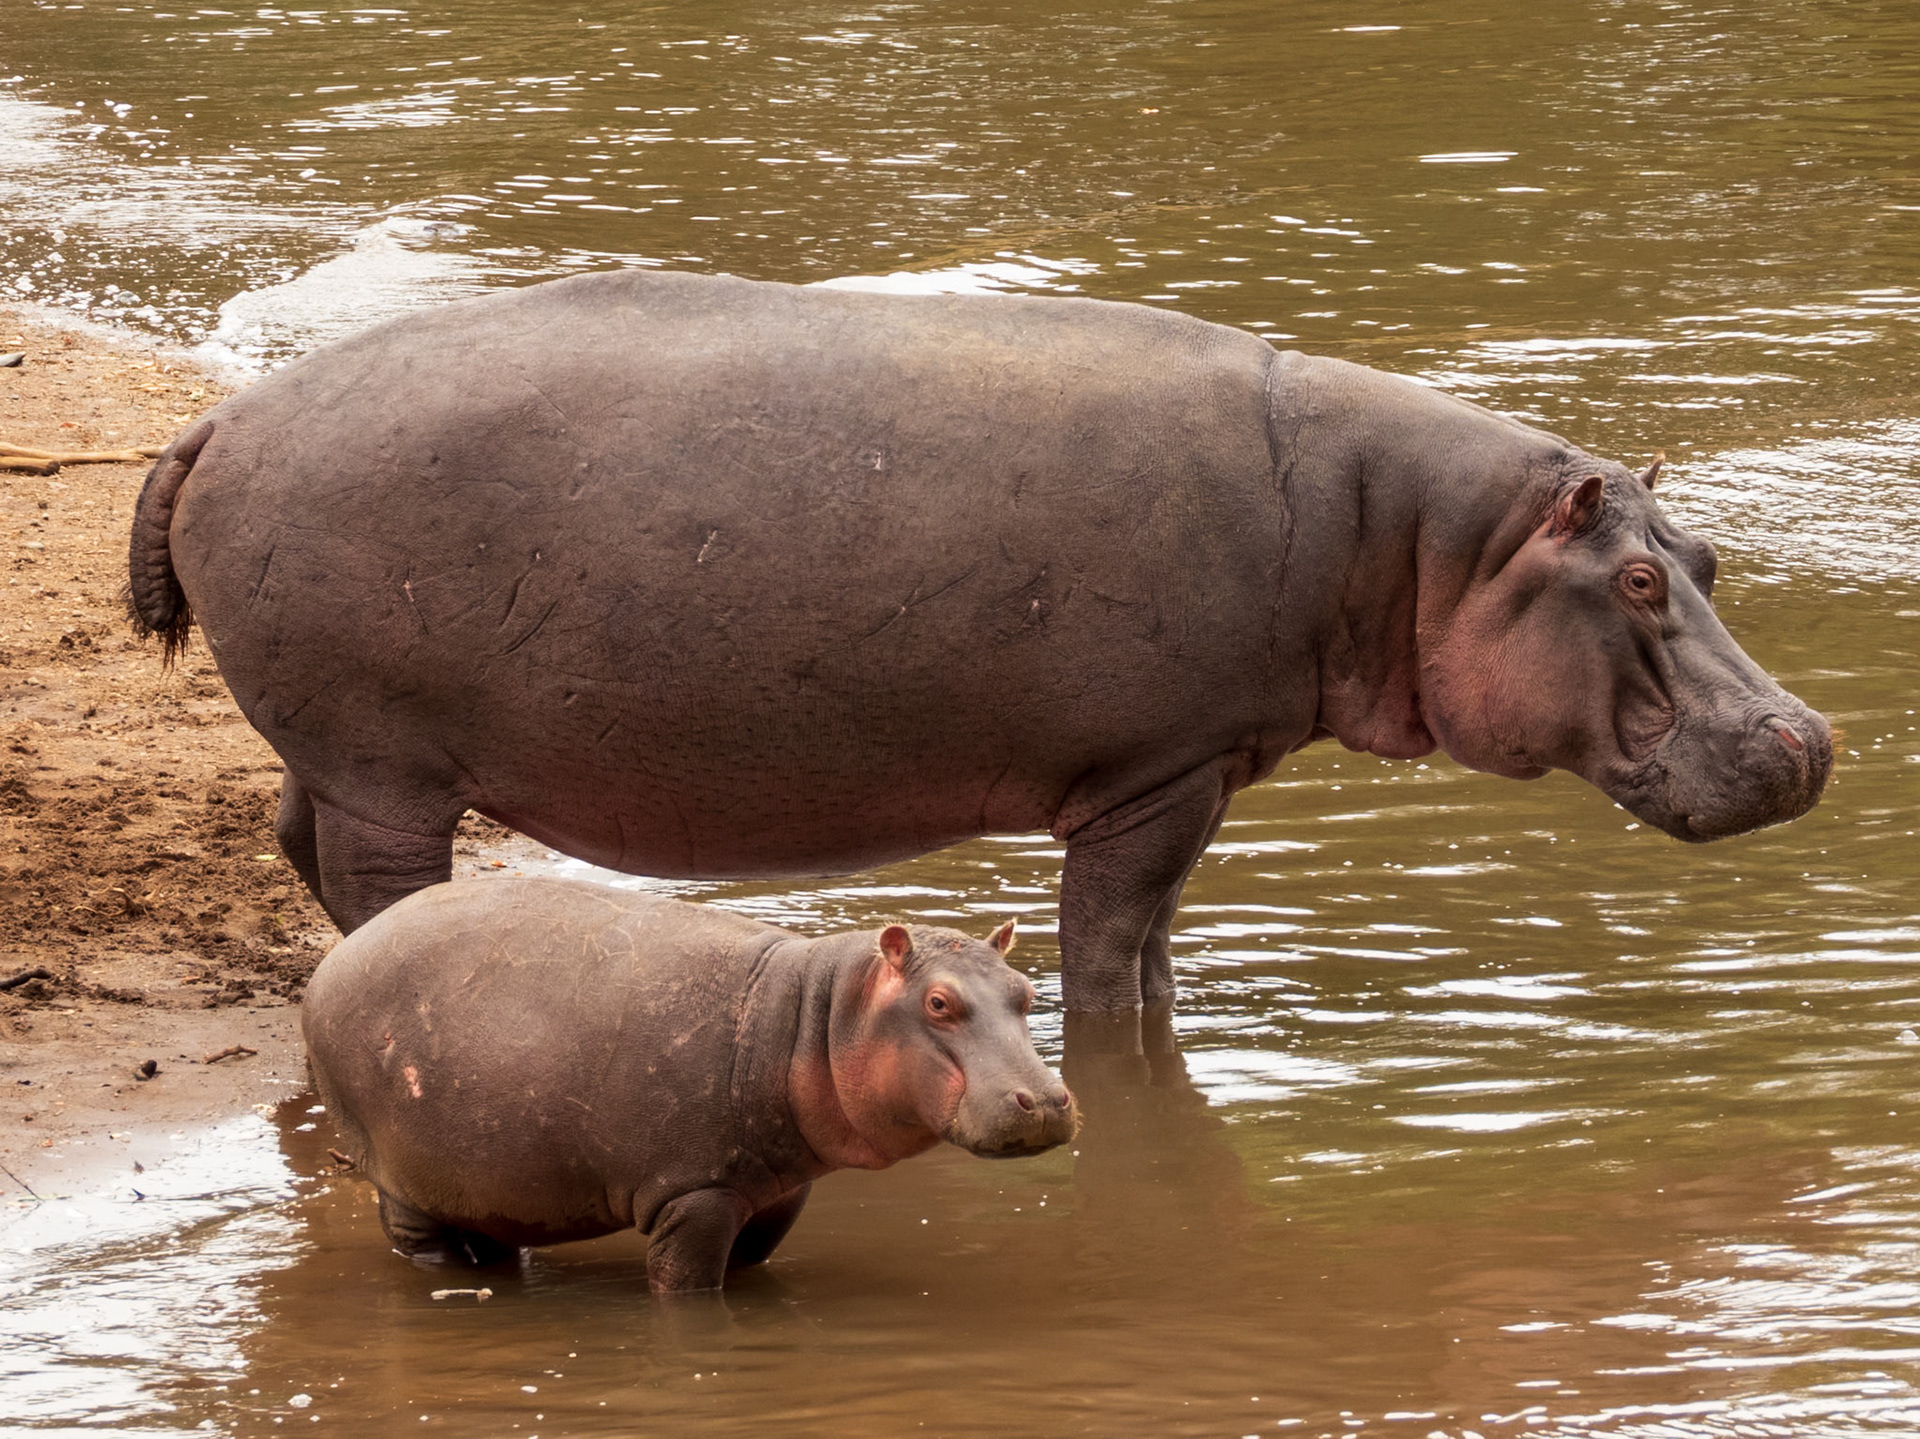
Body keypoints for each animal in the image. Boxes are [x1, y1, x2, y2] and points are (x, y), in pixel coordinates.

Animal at [129, 270, 1832, 1010]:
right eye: (1635, 583)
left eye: (1708, 555)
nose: (1809, 738)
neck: (1417, 538)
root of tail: (217, 419)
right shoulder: (1158, 772)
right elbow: (1116, 944)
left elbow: (1146, 951)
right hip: (387, 772)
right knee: (373, 887)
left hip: (335, 752)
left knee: (291, 839)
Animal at [302, 877, 1074, 1291]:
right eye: (939, 1002)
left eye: (1026, 990)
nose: (1048, 1101)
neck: (820, 1015)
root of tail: (333, 958)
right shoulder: (695, 1191)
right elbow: (687, 1286)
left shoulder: (777, 1190)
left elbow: (750, 1264)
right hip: (400, 1175)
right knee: (417, 1239)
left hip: (487, 1179)